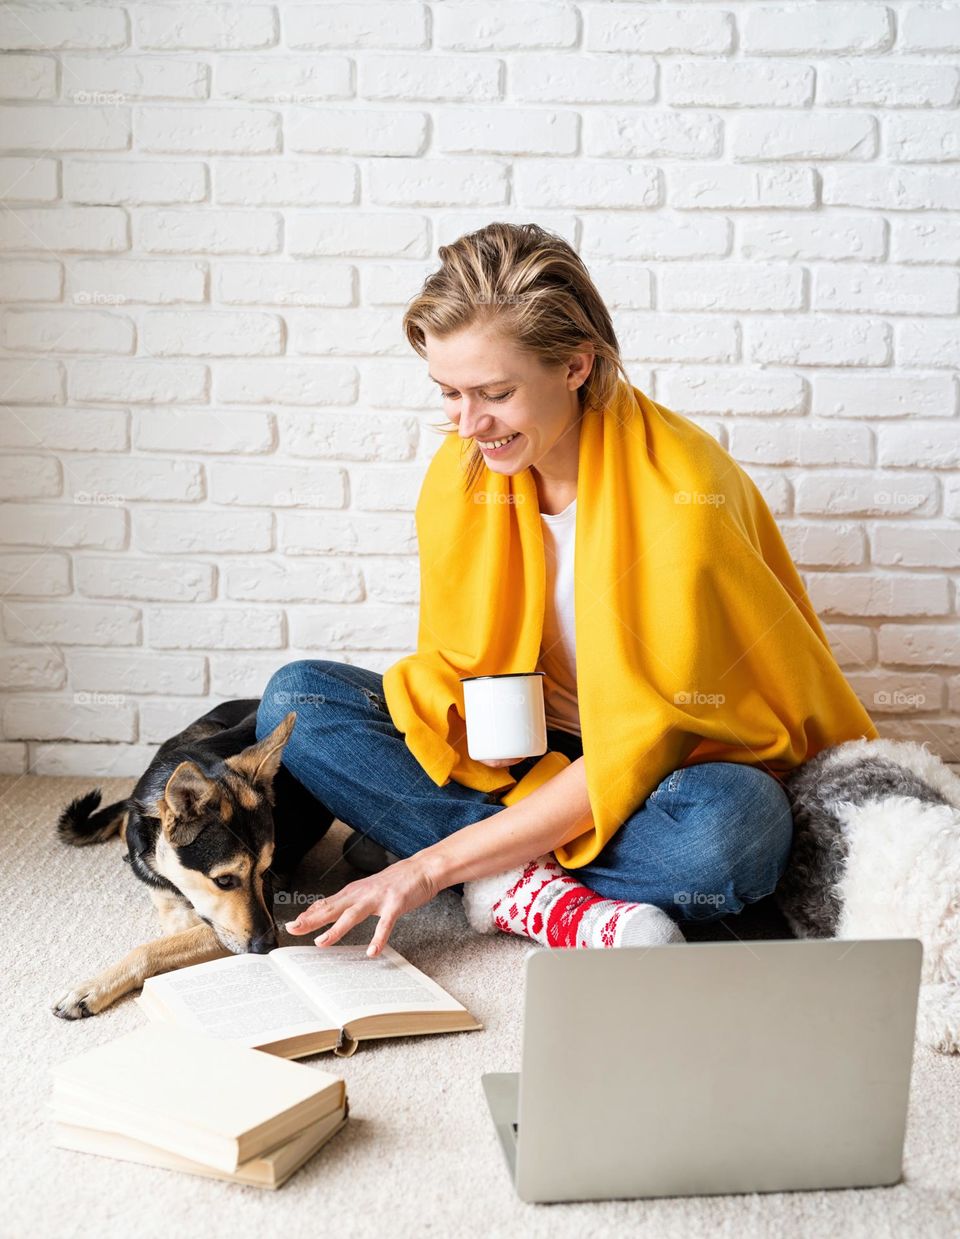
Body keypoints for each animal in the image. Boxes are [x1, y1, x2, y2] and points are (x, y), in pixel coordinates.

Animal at [49, 703, 334, 1020]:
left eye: (264, 871)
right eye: (224, 880)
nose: (269, 945)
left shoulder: (223, 925)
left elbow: (154, 947)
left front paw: (93, 987)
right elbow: (164, 939)